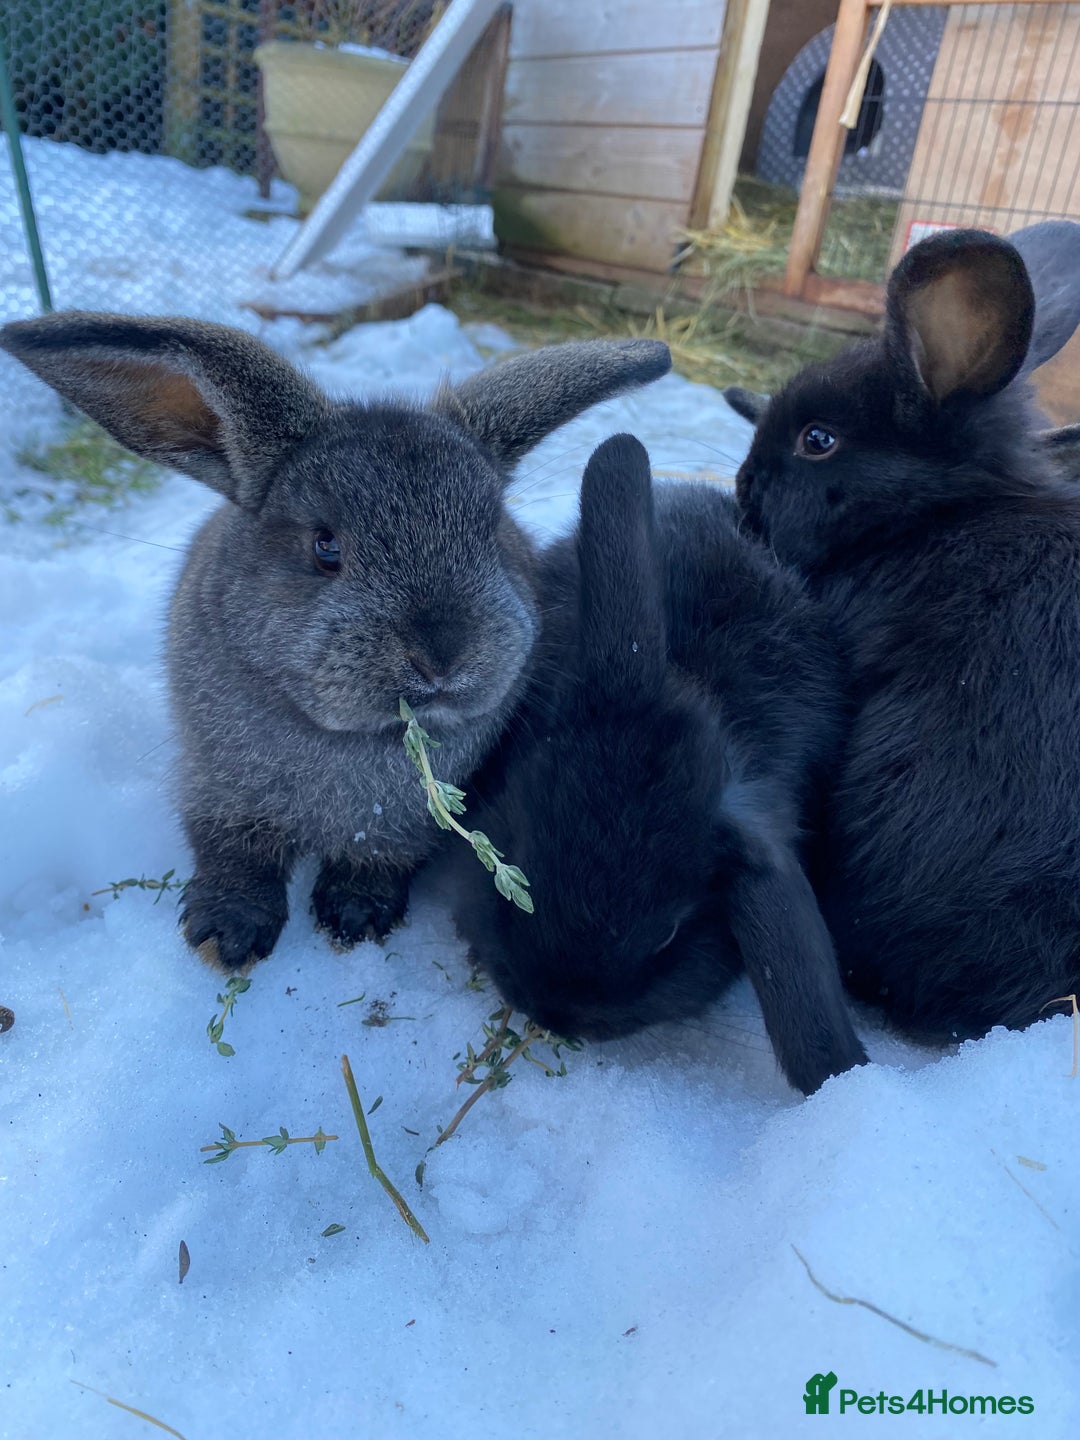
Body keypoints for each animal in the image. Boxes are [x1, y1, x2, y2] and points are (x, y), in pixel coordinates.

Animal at [0, 312, 670, 969]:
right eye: (326, 546)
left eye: (491, 533)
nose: (442, 657)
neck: (346, 740)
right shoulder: (221, 791)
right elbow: (234, 855)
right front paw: (224, 934)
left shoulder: (399, 827)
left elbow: (374, 859)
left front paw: (355, 915)